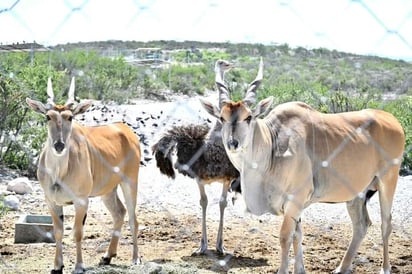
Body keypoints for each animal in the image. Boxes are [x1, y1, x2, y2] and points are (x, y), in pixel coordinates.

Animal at [26, 77, 142, 274]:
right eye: (48, 116)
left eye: (70, 117)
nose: (59, 145)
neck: (59, 173)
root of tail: (126, 130)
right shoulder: (51, 201)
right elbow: (58, 232)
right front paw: (57, 266)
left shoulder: (81, 201)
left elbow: (78, 233)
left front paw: (79, 266)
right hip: (108, 191)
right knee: (119, 213)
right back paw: (107, 256)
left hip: (130, 182)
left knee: (133, 219)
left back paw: (135, 259)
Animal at [200, 58, 406, 272]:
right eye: (222, 118)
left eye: (248, 117)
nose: (233, 143)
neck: (274, 143)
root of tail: (393, 121)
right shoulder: (296, 206)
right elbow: (298, 235)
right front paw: (300, 269)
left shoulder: (295, 200)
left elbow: (285, 236)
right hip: (357, 194)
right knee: (361, 225)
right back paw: (342, 267)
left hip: (387, 181)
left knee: (386, 224)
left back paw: (385, 268)